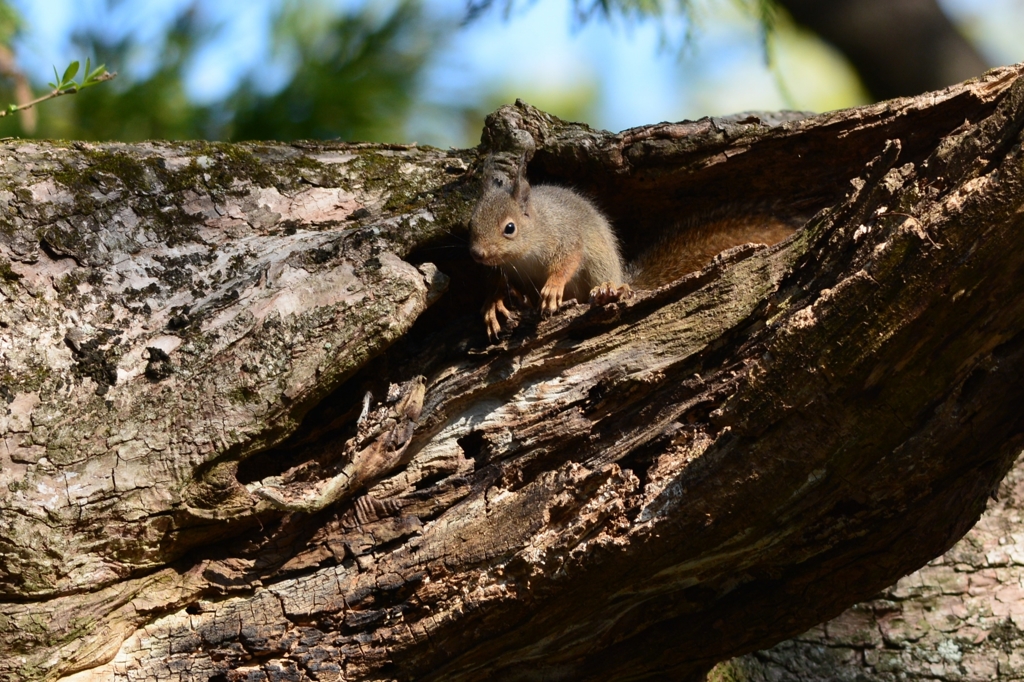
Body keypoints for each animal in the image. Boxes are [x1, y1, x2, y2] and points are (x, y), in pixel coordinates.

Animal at [468, 159, 794, 339]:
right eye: (471, 223)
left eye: (509, 228)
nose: (477, 254)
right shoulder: (507, 269)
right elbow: (498, 284)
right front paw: (493, 303)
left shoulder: (565, 237)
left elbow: (569, 260)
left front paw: (552, 289)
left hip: (600, 265)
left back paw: (608, 290)